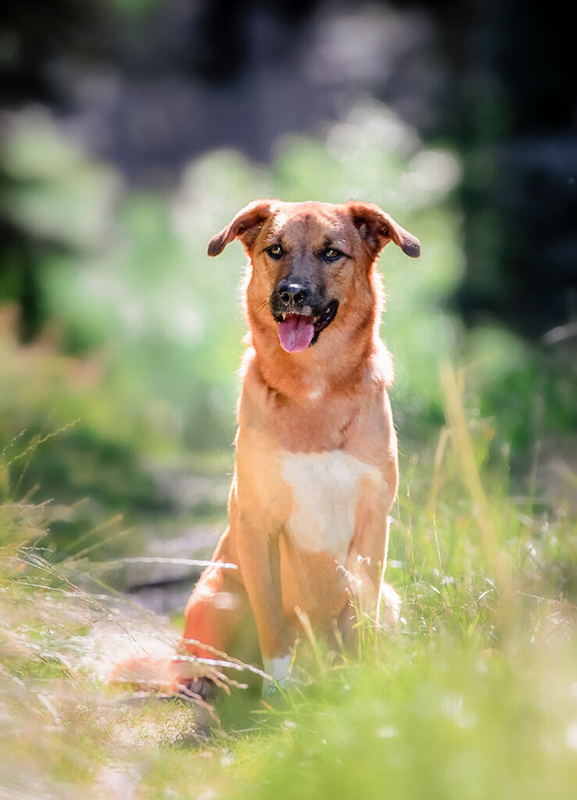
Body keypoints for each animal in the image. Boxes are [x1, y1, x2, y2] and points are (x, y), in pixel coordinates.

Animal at [180, 198, 418, 688]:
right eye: (275, 249)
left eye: (332, 253)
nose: (292, 294)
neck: (314, 389)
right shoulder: (258, 523)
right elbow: (272, 623)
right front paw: (281, 690)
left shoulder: (372, 522)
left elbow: (360, 615)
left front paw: (365, 682)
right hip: (218, 598)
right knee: (199, 662)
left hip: (392, 601)